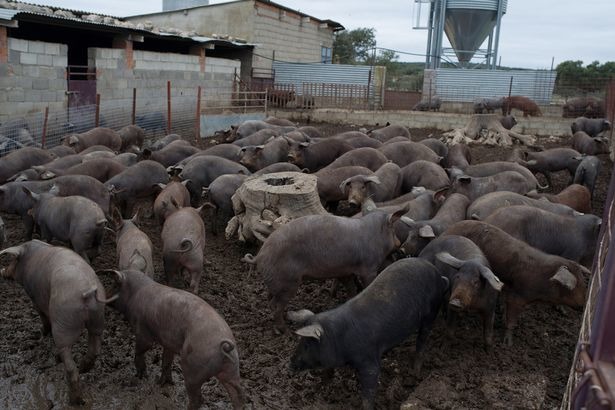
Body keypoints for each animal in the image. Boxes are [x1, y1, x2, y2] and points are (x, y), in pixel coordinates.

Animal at [0, 242, 113, 406]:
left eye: (13, 260)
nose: (2, 271)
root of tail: (87, 291)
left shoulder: (35, 297)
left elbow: (42, 315)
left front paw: (42, 333)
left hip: (63, 325)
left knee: (70, 365)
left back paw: (75, 400)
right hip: (98, 319)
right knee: (94, 350)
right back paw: (84, 368)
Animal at [102, 270, 244, 410]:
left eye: (114, 285)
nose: (104, 297)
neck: (135, 294)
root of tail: (225, 345)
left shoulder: (142, 330)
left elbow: (141, 350)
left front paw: (141, 376)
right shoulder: (168, 342)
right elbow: (166, 360)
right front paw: (163, 383)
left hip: (193, 369)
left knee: (198, 399)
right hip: (232, 370)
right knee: (238, 395)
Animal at [241, 207, 410, 332]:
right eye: (393, 229)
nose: (400, 244)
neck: (375, 235)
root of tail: (259, 255)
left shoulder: (344, 271)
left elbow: (351, 289)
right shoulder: (368, 268)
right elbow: (366, 284)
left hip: (274, 283)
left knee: (269, 300)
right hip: (287, 282)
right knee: (275, 305)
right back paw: (285, 331)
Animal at [288, 258, 448, 408]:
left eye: (307, 344)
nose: (290, 364)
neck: (337, 338)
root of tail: (438, 274)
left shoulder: (369, 360)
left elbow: (368, 391)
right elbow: (327, 372)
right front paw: (322, 387)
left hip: (431, 313)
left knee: (422, 340)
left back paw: (416, 372)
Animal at [442, 219, 592, 344]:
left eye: (583, 282)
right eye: (574, 286)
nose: (583, 304)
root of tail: (448, 230)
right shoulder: (517, 297)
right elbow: (511, 320)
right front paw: (507, 343)